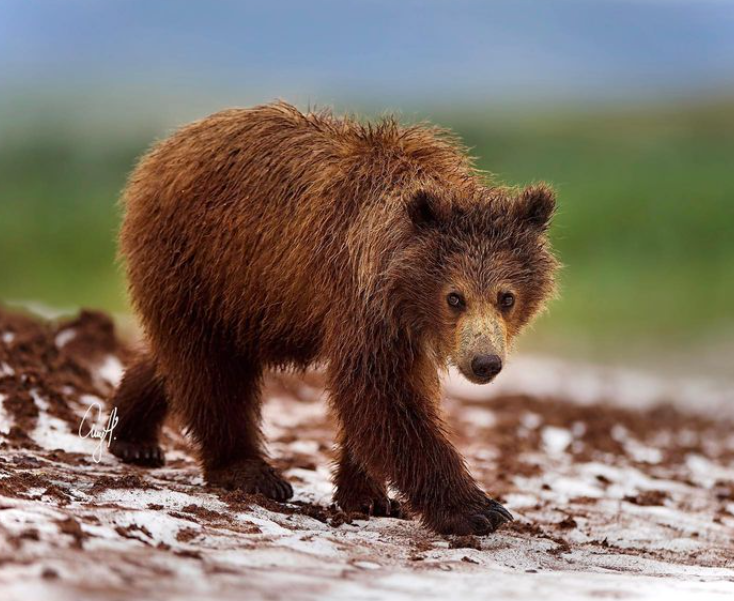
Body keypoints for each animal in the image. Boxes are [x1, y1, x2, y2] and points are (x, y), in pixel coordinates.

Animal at [109, 101, 559, 536]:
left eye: (506, 297)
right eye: (455, 297)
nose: (485, 362)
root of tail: (165, 148)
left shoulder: (402, 325)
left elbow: (381, 397)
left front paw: (369, 495)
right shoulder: (361, 298)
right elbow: (383, 397)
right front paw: (478, 510)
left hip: (244, 299)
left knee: (176, 359)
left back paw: (132, 435)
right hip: (201, 261)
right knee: (210, 367)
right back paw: (249, 471)